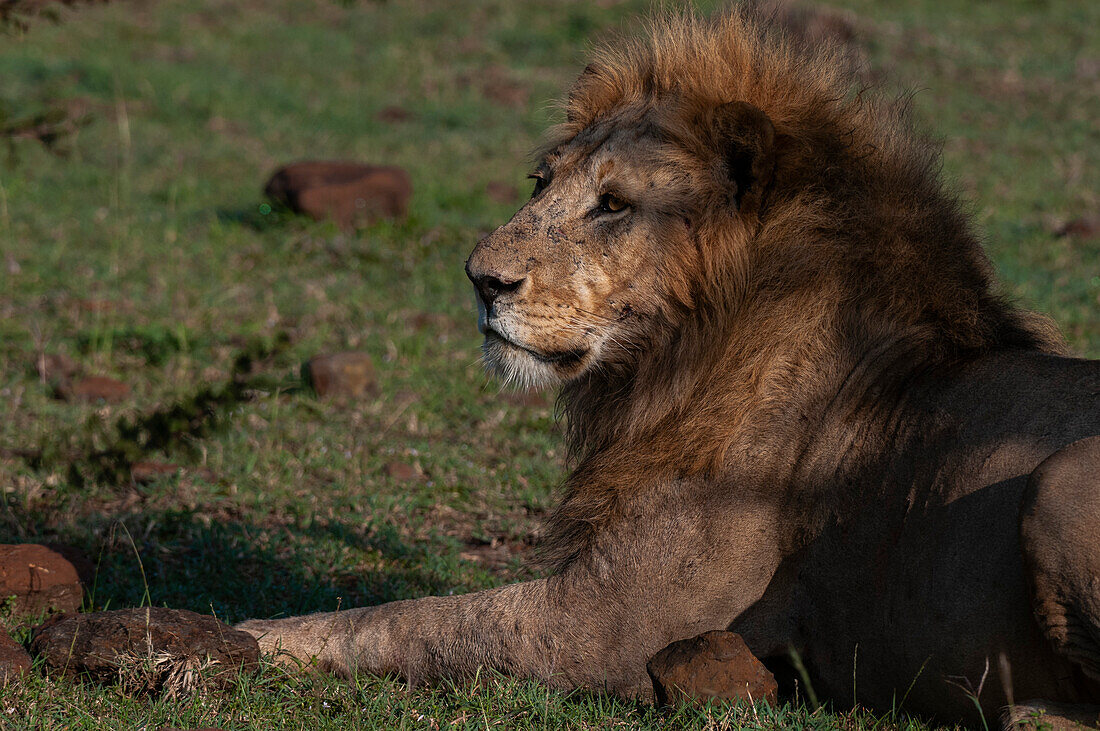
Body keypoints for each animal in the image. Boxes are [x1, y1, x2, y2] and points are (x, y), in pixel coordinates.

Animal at [238, 7, 1100, 725]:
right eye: (542, 182)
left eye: (615, 204)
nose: (481, 279)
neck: (674, 357)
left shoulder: (609, 624)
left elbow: (413, 622)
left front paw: (243, 635)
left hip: (1061, 479)